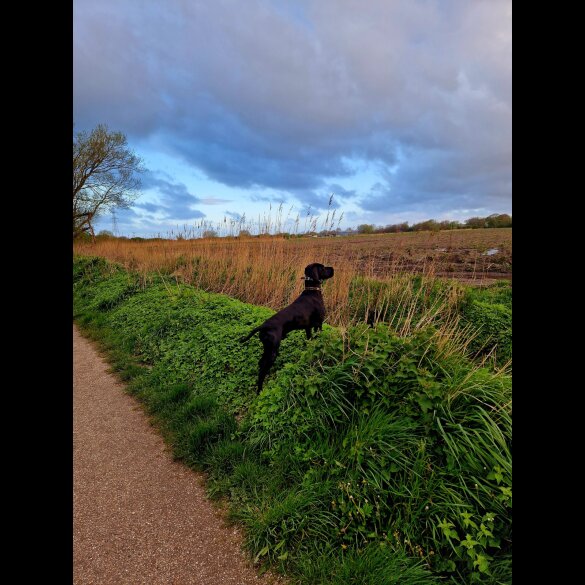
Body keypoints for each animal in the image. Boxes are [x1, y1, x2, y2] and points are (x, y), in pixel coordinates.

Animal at [240, 262, 334, 390]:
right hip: (272, 351)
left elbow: (310, 341)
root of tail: (264, 326)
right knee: (262, 369)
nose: (333, 268)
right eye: (323, 268)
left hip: (267, 348)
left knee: (260, 363)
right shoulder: (319, 324)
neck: (312, 292)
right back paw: (260, 390)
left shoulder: (308, 328)